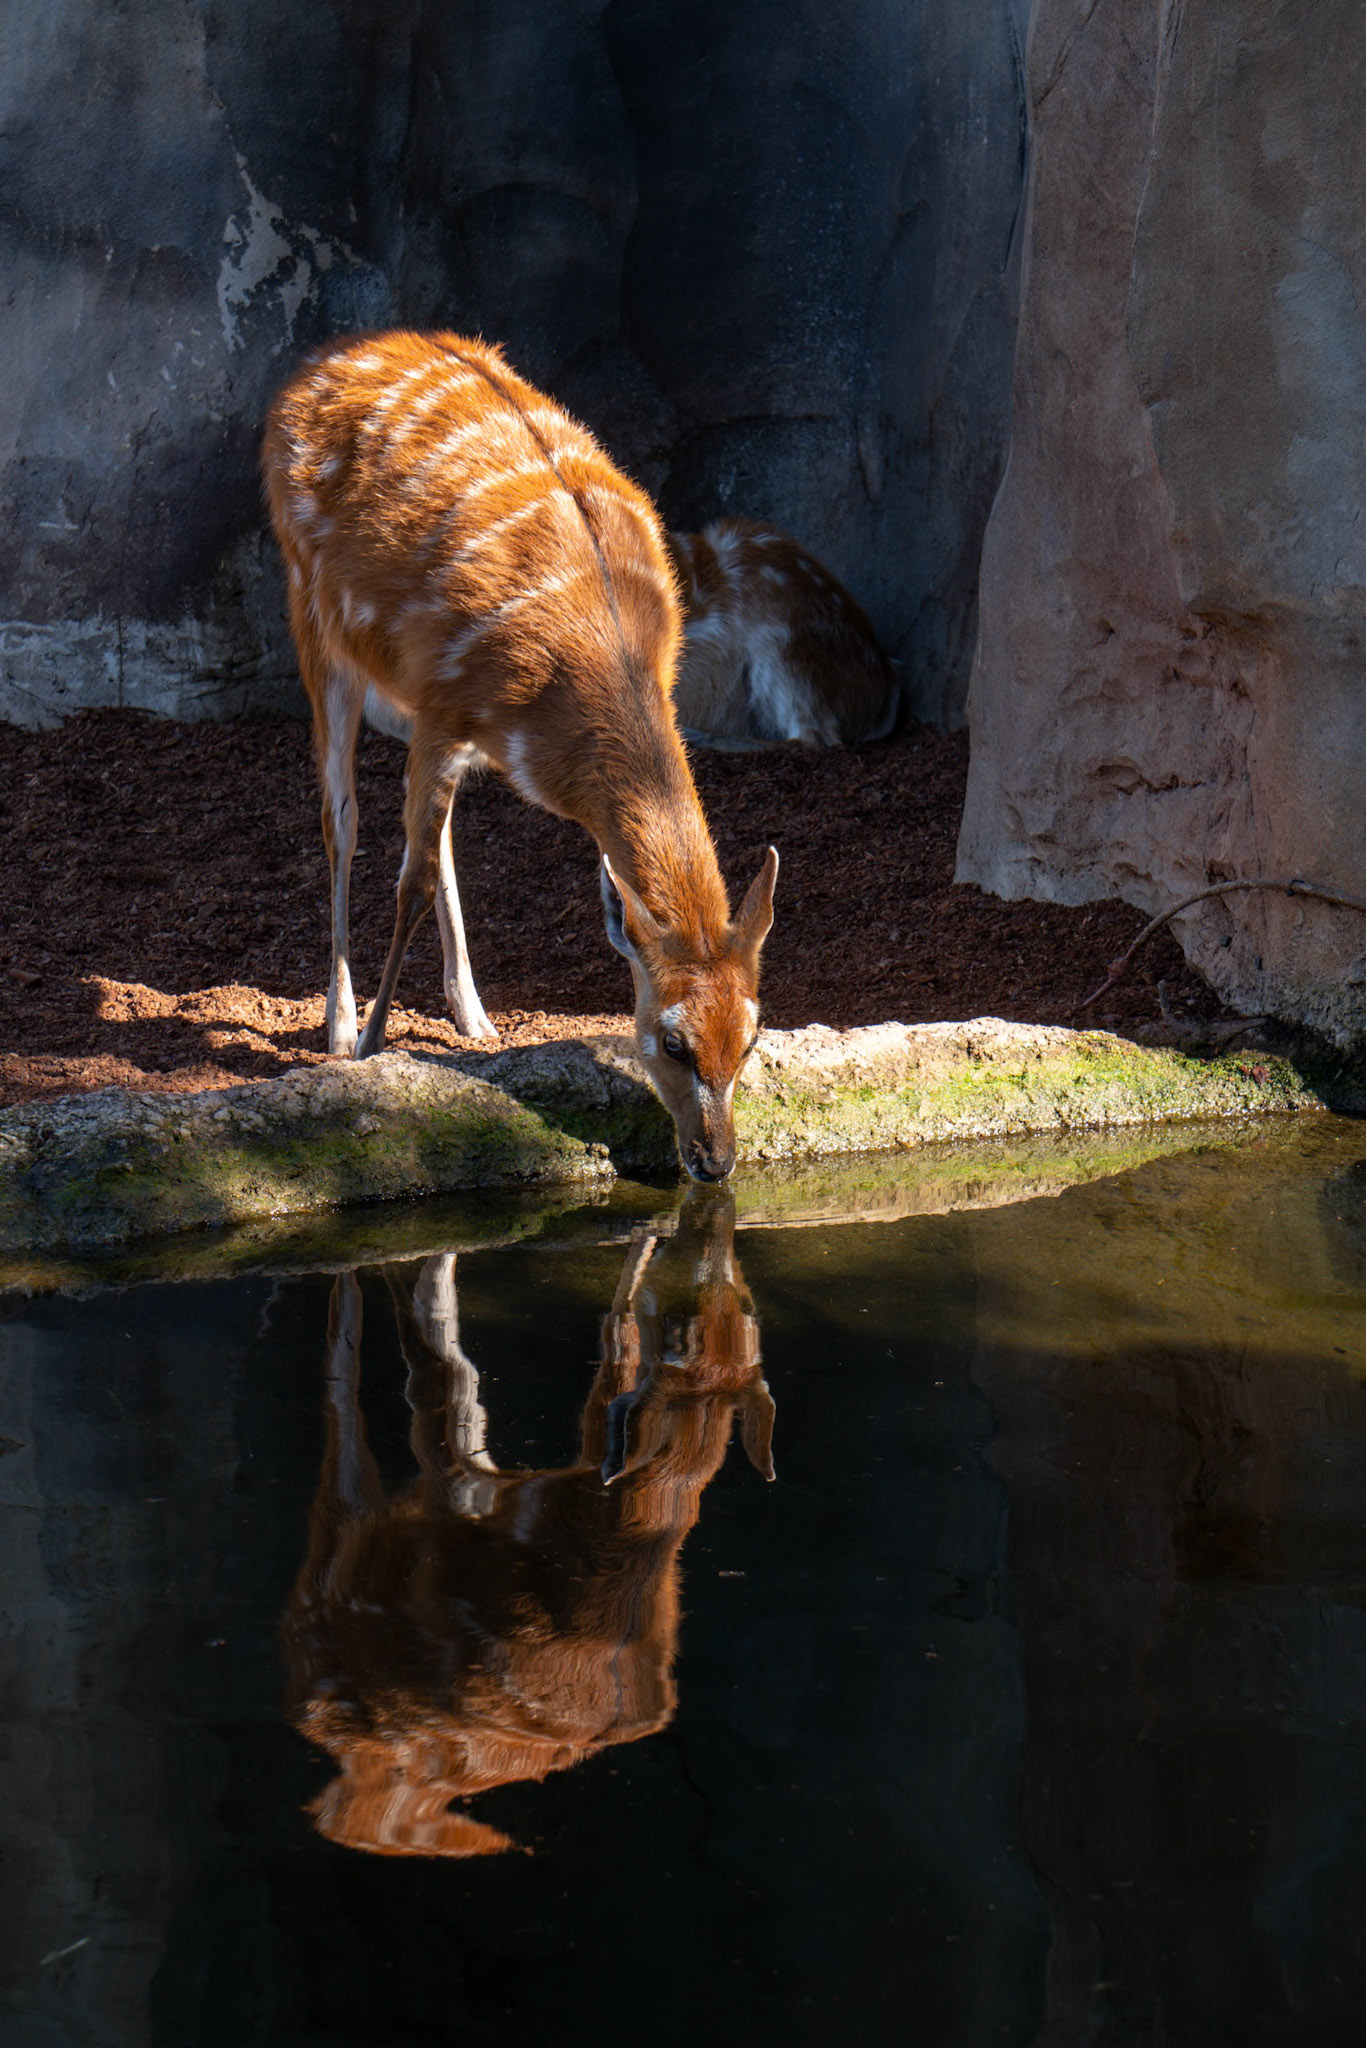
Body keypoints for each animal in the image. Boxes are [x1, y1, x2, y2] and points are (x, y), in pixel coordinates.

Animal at [263, 332, 778, 1182]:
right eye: (671, 1041)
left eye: (750, 1037)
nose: (714, 1161)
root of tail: (322, 360)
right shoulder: (444, 703)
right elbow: (407, 880)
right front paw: (369, 1046)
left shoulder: (446, 719)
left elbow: (429, 856)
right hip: (314, 612)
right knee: (343, 818)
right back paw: (337, 1025)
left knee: (427, 834)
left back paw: (475, 1017)